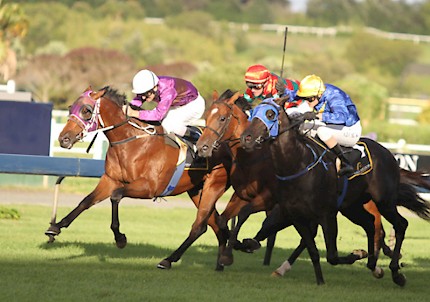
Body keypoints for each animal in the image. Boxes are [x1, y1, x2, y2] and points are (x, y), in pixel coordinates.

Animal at [48, 85, 233, 272]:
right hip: (196, 191)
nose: (63, 139)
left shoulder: (150, 187)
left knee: (200, 226)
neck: (132, 142)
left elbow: (115, 196)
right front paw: (55, 227)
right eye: (70, 108)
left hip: (213, 186)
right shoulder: (110, 180)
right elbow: (86, 201)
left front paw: (120, 238)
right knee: (216, 224)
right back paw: (221, 262)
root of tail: (225, 145)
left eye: (86, 110)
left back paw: (168, 260)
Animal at [197, 89, 394, 272]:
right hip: (349, 207)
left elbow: (245, 214)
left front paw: (232, 253)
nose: (202, 147)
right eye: (206, 117)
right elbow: (224, 220)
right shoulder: (243, 195)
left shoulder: (269, 199)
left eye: (222, 118)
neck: (255, 158)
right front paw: (234, 248)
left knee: (376, 226)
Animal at [240, 96, 430, 286]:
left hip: (384, 201)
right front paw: (320, 280)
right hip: (352, 207)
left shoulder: (327, 214)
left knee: (400, 225)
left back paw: (396, 272)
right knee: (371, 224)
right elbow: (313, 251)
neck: (298, 165)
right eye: (252, 112)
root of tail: (388, 153)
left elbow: (331, 256)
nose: (246, 138)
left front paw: (357, 254)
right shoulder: (297, 216)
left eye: (270, 114)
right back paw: (374, 266)